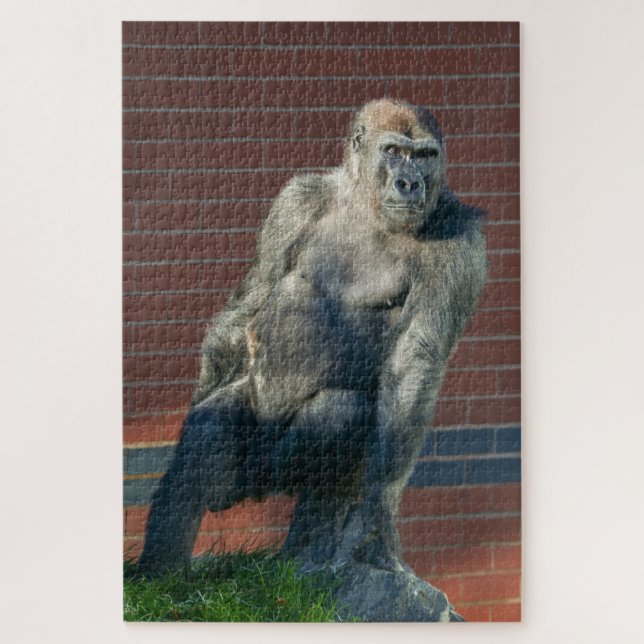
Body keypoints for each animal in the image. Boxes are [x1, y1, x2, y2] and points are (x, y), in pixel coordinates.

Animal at [137, 99, 487, 575]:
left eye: (426, 156)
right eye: (394, 151)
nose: (410, 183)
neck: (363, 202)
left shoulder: (462, 242)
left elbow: (414, 360)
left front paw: (380, 509)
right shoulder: (295, 201)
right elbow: (252, 300)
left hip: (282, 475)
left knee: (336, 415)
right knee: (209, 433)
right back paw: (161, 574)